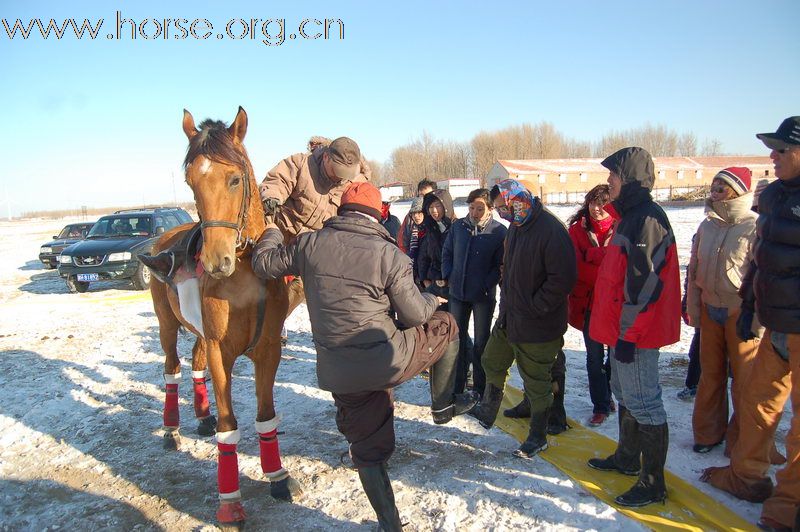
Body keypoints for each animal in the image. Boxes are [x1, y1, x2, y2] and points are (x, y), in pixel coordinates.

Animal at [148, 106, 302, 524]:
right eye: (190, 182)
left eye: (234, 178)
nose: (217, 262)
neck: (246, 277)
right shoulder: (222, 350)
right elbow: (229, 425)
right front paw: (230, 501)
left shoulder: (268, 349)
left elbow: (266, 414)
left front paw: (277, 476)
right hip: (167, 325)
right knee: (173, 368)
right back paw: (171, 430)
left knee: (195, 361)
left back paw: (202, 416)